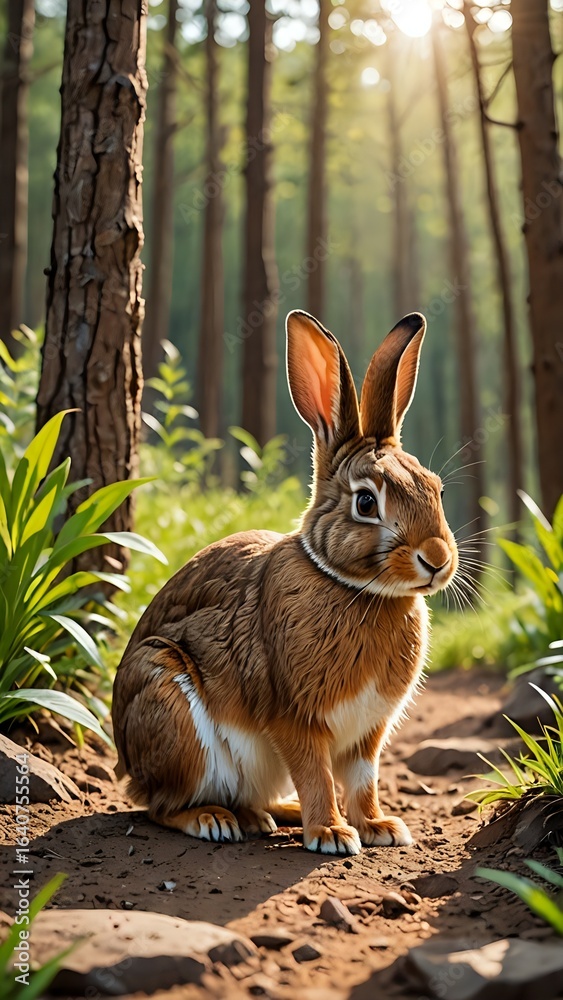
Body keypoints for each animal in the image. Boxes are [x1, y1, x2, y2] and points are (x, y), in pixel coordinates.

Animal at [112, 309, 458, 856]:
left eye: (436, 490)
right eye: (366, 503)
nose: (438, 559)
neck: (355, 588)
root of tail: (127, 762)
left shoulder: (369, 731)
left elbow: (364, 779)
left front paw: (380, 827)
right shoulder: (294, 716)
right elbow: (316, 773)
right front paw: (333, 834)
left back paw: (272, 816)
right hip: (171, 708)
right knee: (161, 806)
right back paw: (215, 820)